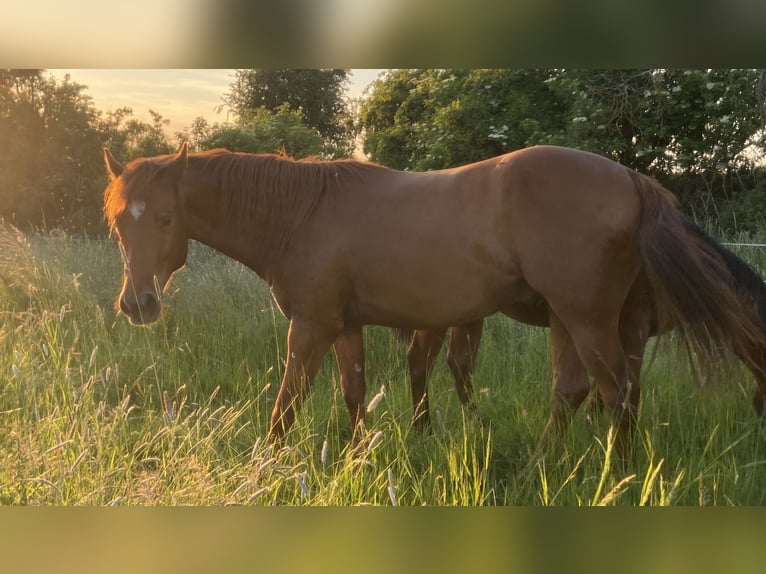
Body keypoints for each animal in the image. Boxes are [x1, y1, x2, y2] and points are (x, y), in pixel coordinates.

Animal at [102, 142, 766, 455]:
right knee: (580, 392)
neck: (303, 214)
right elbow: (354, 393)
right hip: (579, 321)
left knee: (615, 395)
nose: (137, 305)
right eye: (117, 222)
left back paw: (611, 474)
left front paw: (268, 466)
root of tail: (630, 178)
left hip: (588, 320)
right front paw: (358, 453)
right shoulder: (345, 325)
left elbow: (285, 406)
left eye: (165, 219)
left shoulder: (310, 326)